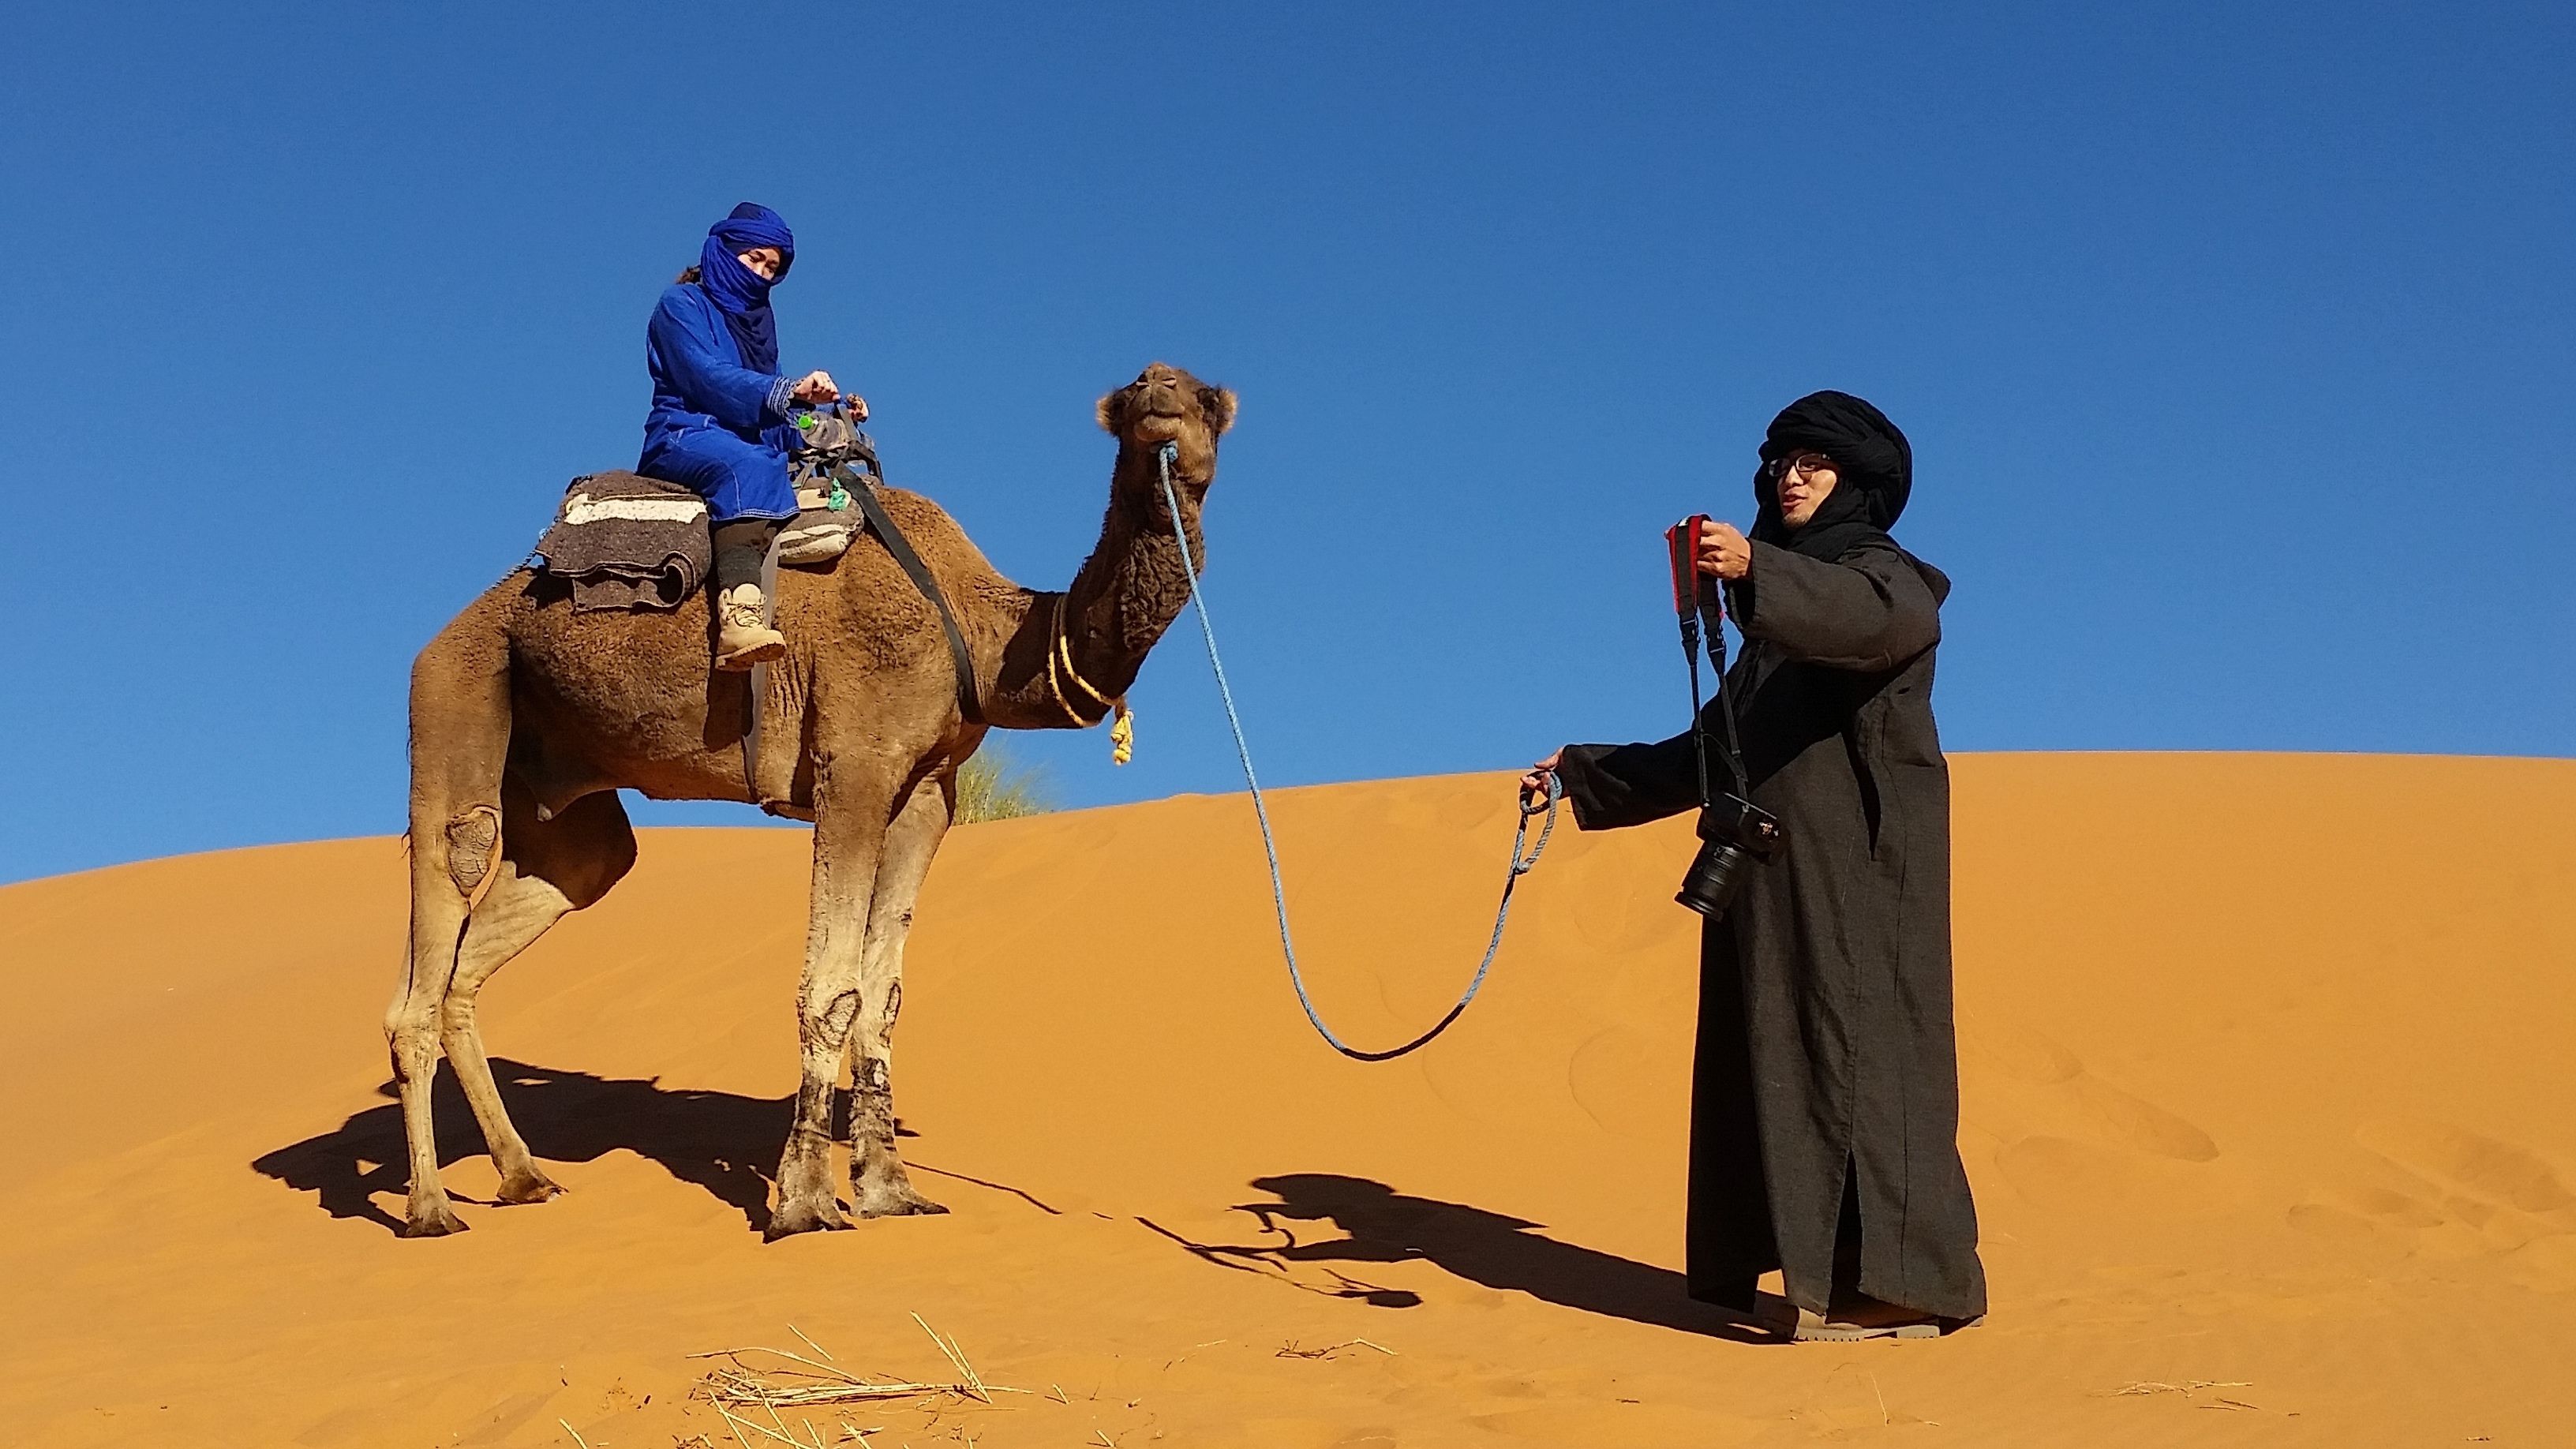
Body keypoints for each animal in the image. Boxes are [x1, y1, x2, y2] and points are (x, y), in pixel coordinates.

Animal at [390, 362, 1234, 1239]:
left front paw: (890, 1189)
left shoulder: (928, 794)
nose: (1161, 397)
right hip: (458, 685)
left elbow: (882, 997)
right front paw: (803, 1200)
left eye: (1205, 398)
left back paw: (522, 1176)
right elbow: (831, 990)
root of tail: (452, 628)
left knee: (531, 915)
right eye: (1133, 394)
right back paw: (429, 1208)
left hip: (559, 786)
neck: (980, 628)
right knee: (448, 886)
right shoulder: (854, 764)